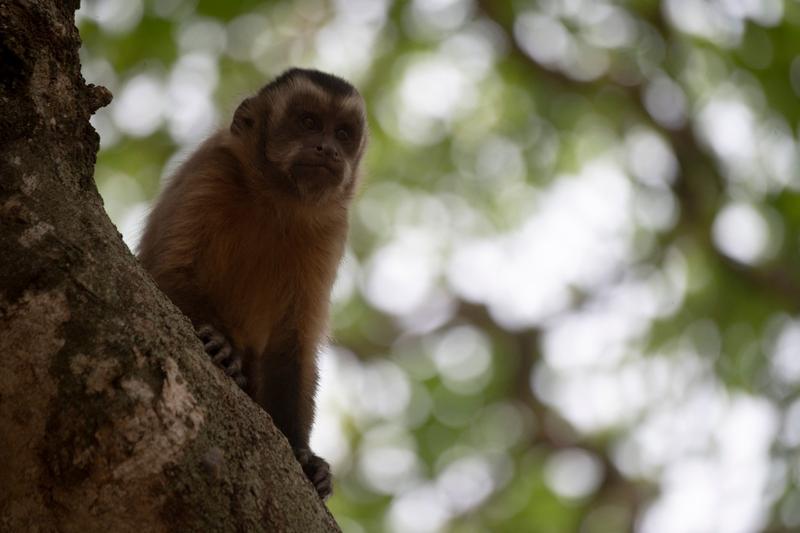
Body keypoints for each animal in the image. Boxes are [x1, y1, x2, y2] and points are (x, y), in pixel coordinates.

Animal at [138, 67, 368, 498]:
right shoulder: (212, 169)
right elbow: (168, 272)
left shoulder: (331, 226)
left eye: (344, 133)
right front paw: (220, 345)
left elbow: (292, 342)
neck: (274, 199)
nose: (328, 148)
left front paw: (304, 455)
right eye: (308, 122)